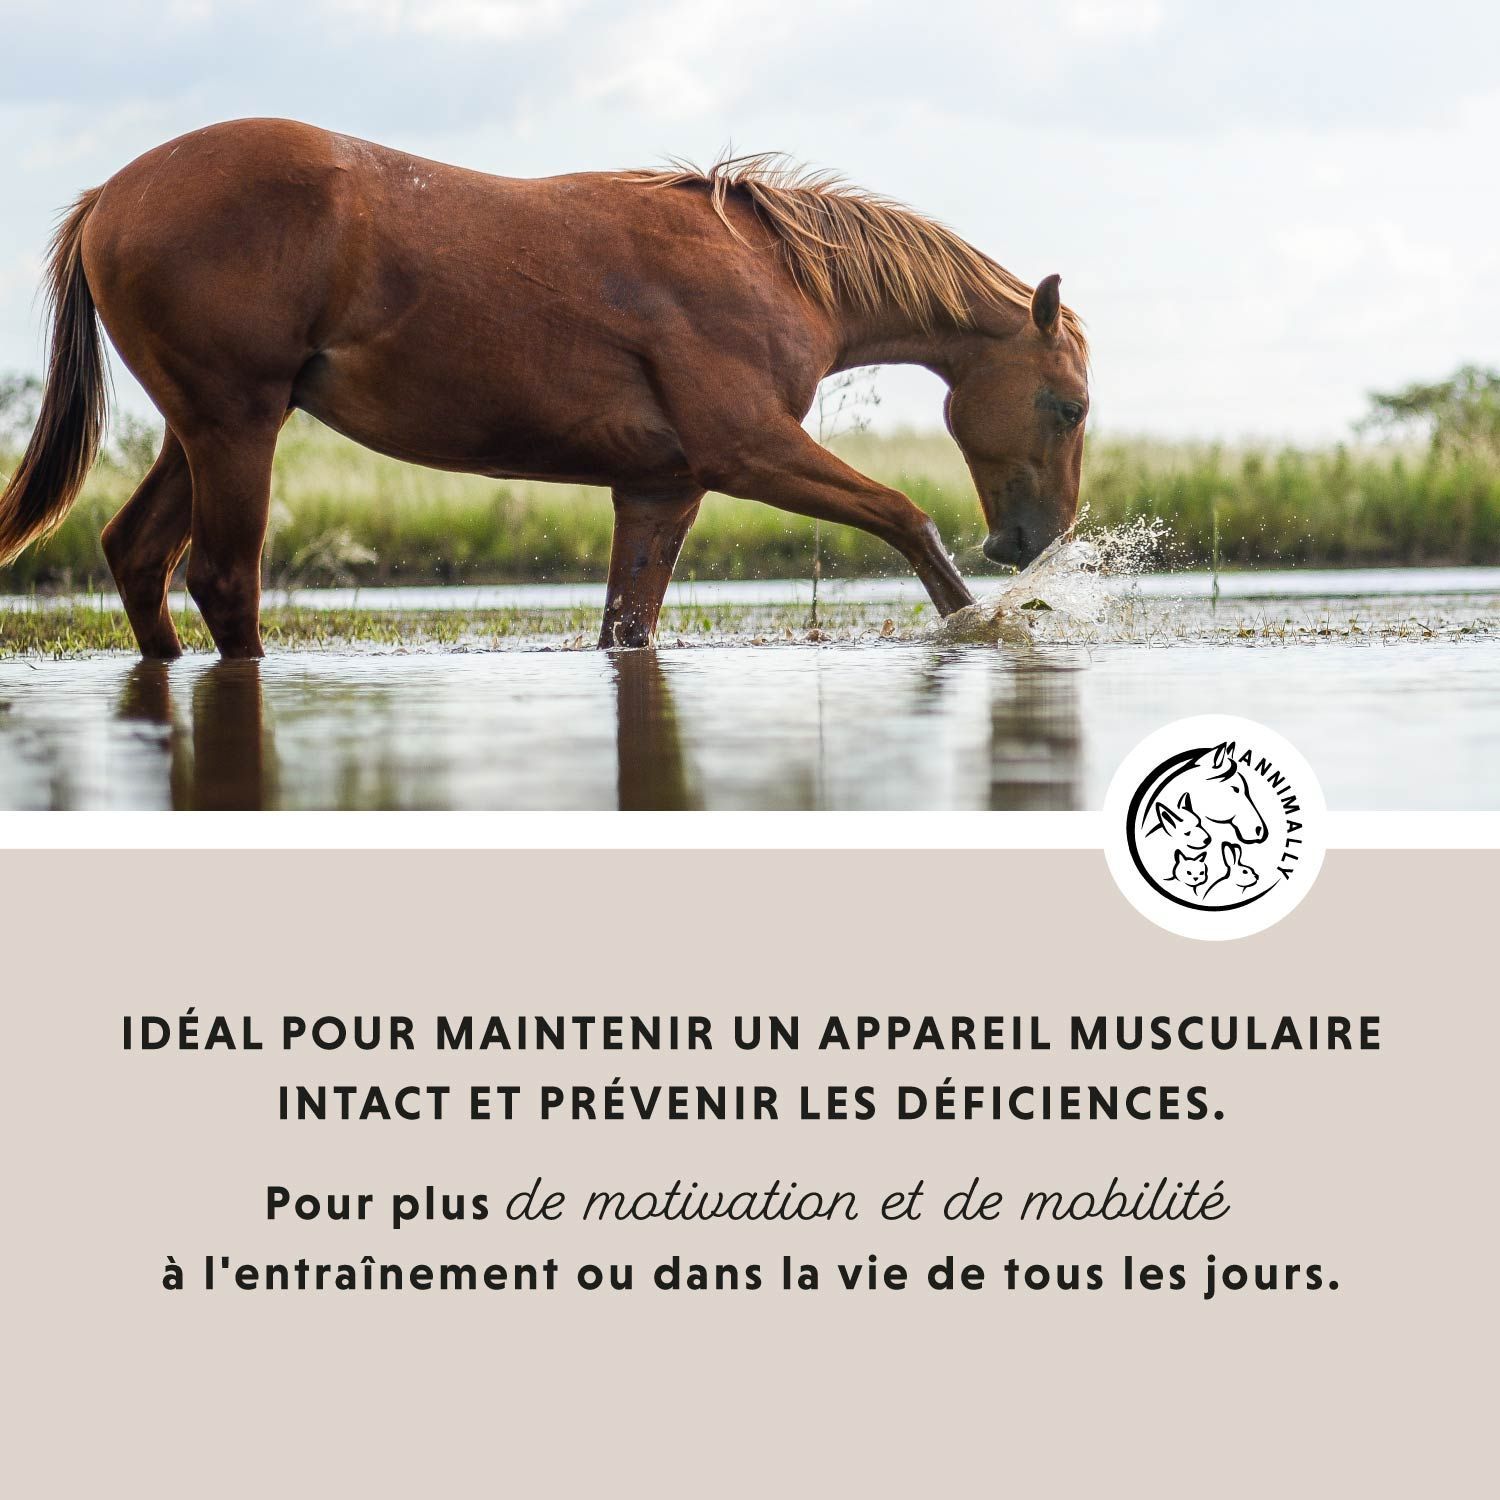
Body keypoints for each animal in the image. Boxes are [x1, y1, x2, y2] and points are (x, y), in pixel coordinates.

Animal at [0, 119, 1089, 658]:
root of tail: (109, 198)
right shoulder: (751, 451)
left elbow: (627, 628)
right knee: (223, 580)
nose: (1032, 540)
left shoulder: (662, 487)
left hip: (204, 432)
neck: (770, 268)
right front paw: (984, 622)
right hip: (235, 427)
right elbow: (905, 517)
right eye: (1069, 406)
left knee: (137, 557)